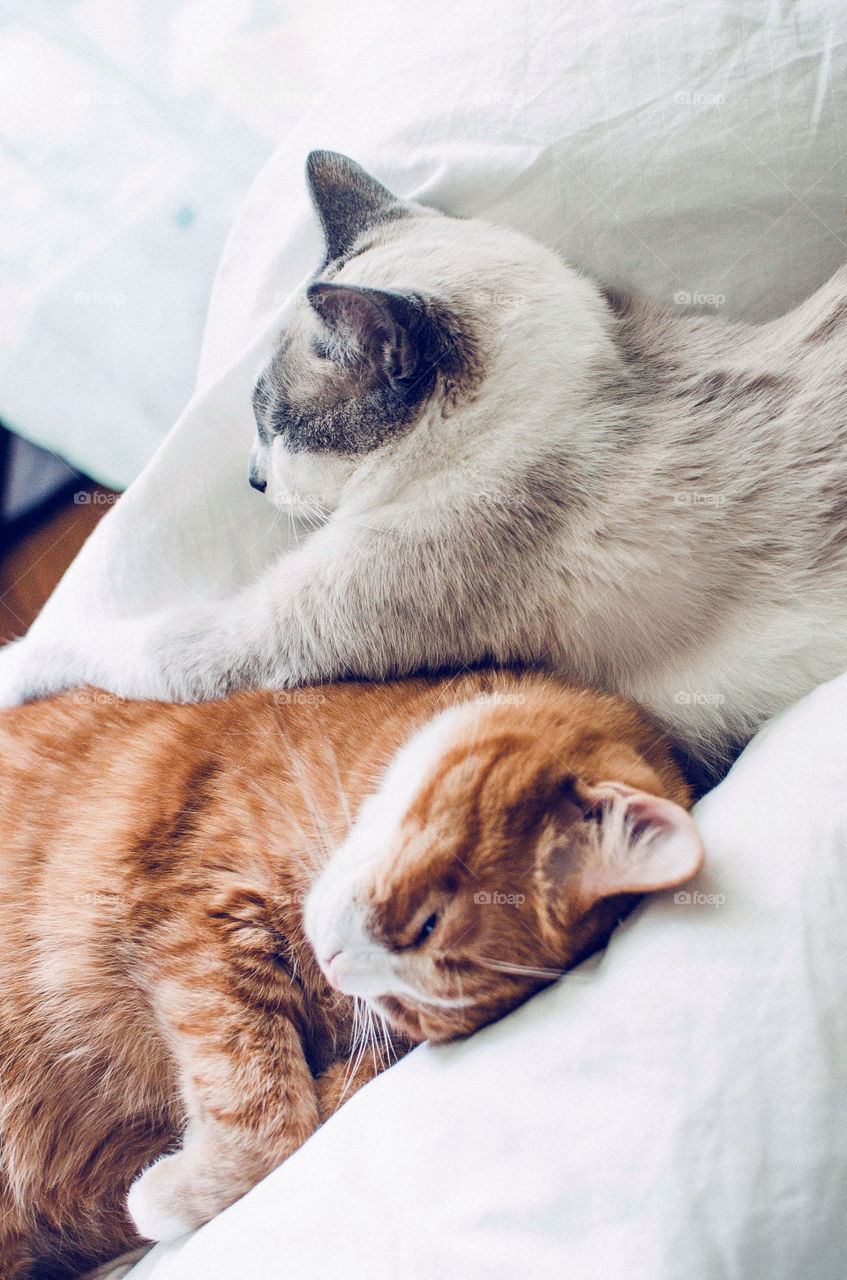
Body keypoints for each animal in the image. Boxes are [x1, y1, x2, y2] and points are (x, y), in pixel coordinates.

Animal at [0, 675, 701, 1274]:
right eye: (427, 924)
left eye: (408, 1012)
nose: (340, 972)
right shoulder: (196, 913)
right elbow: (273, 1114)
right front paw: (165, 1199)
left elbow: (307, 1118)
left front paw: (160, 1196)